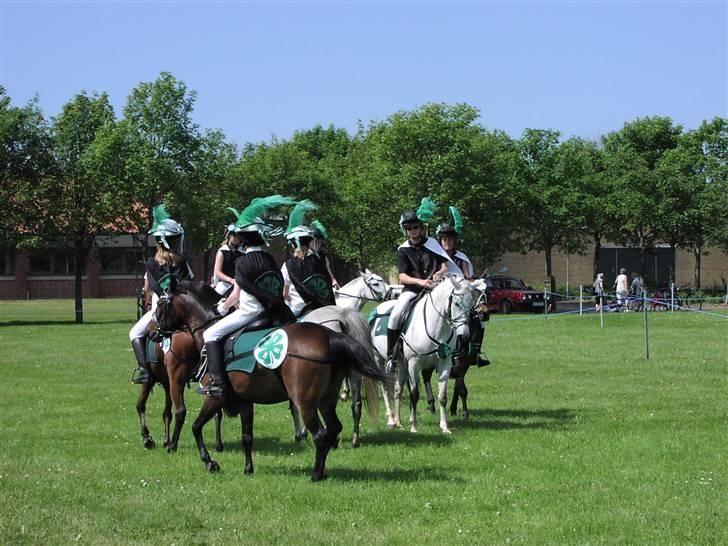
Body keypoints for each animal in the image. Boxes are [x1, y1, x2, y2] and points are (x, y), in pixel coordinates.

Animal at [156, 280, 390, 480]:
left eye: (160, 305)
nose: (156, 333)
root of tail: (332, 335)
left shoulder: (215, 398)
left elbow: (196, 427)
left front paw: (209, 462)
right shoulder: (245, 402)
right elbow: (247, 437)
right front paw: (248, 469)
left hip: (306, 403)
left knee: (320, 434)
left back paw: (315, 474)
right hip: (326, 401)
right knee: (334, 428)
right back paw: (323, 469)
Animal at [370, 276, 484, 434]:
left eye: (471, 305)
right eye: (456, 303)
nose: (465, 337)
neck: (436, 327)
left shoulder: (445, 364)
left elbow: (443, 396)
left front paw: (444, 427)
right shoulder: (414, 365)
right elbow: (414, 395)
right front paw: (414, 427)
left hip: (402, 364)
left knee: (398, 389)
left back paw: (399, 422)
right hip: (379, 359)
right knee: (385, 388)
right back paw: (391, 420)